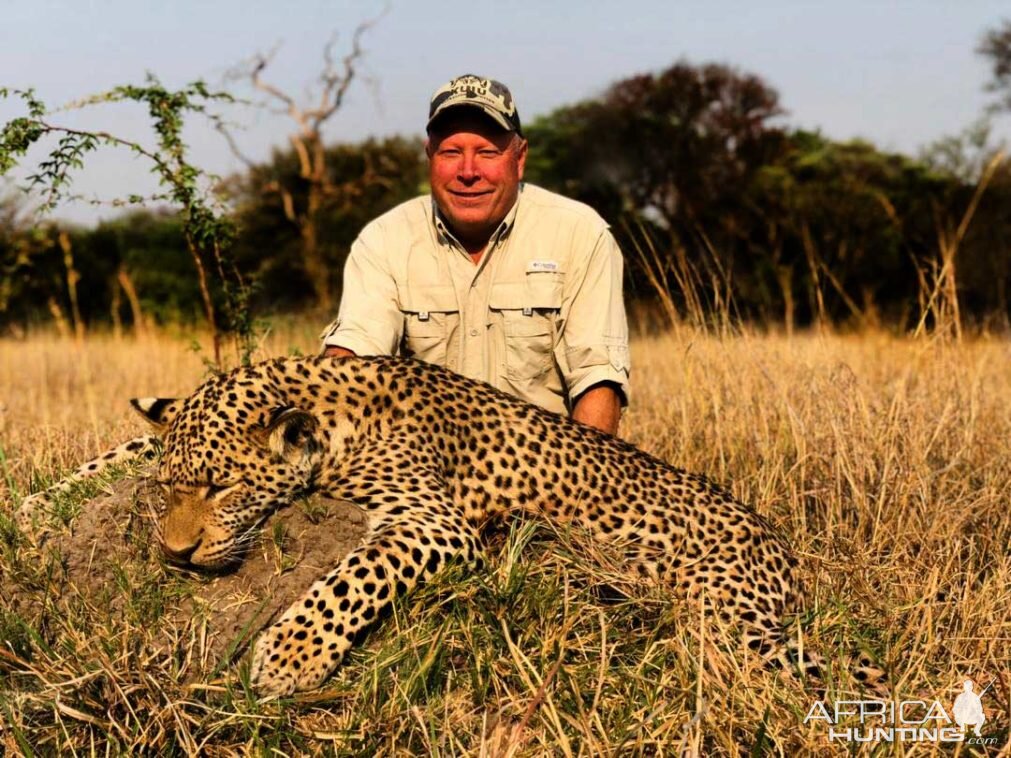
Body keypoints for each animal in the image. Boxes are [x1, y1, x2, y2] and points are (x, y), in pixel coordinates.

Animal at [13, 359, 877, 699]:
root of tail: (780, 543)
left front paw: (288, 658)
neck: (326, 408)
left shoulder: (434, 523)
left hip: (724, 615)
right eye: (169, 492)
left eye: (223, 489)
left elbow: (350, 580)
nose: (175, 553)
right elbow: (125, 447)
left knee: (830, 669)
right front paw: (33, 504)